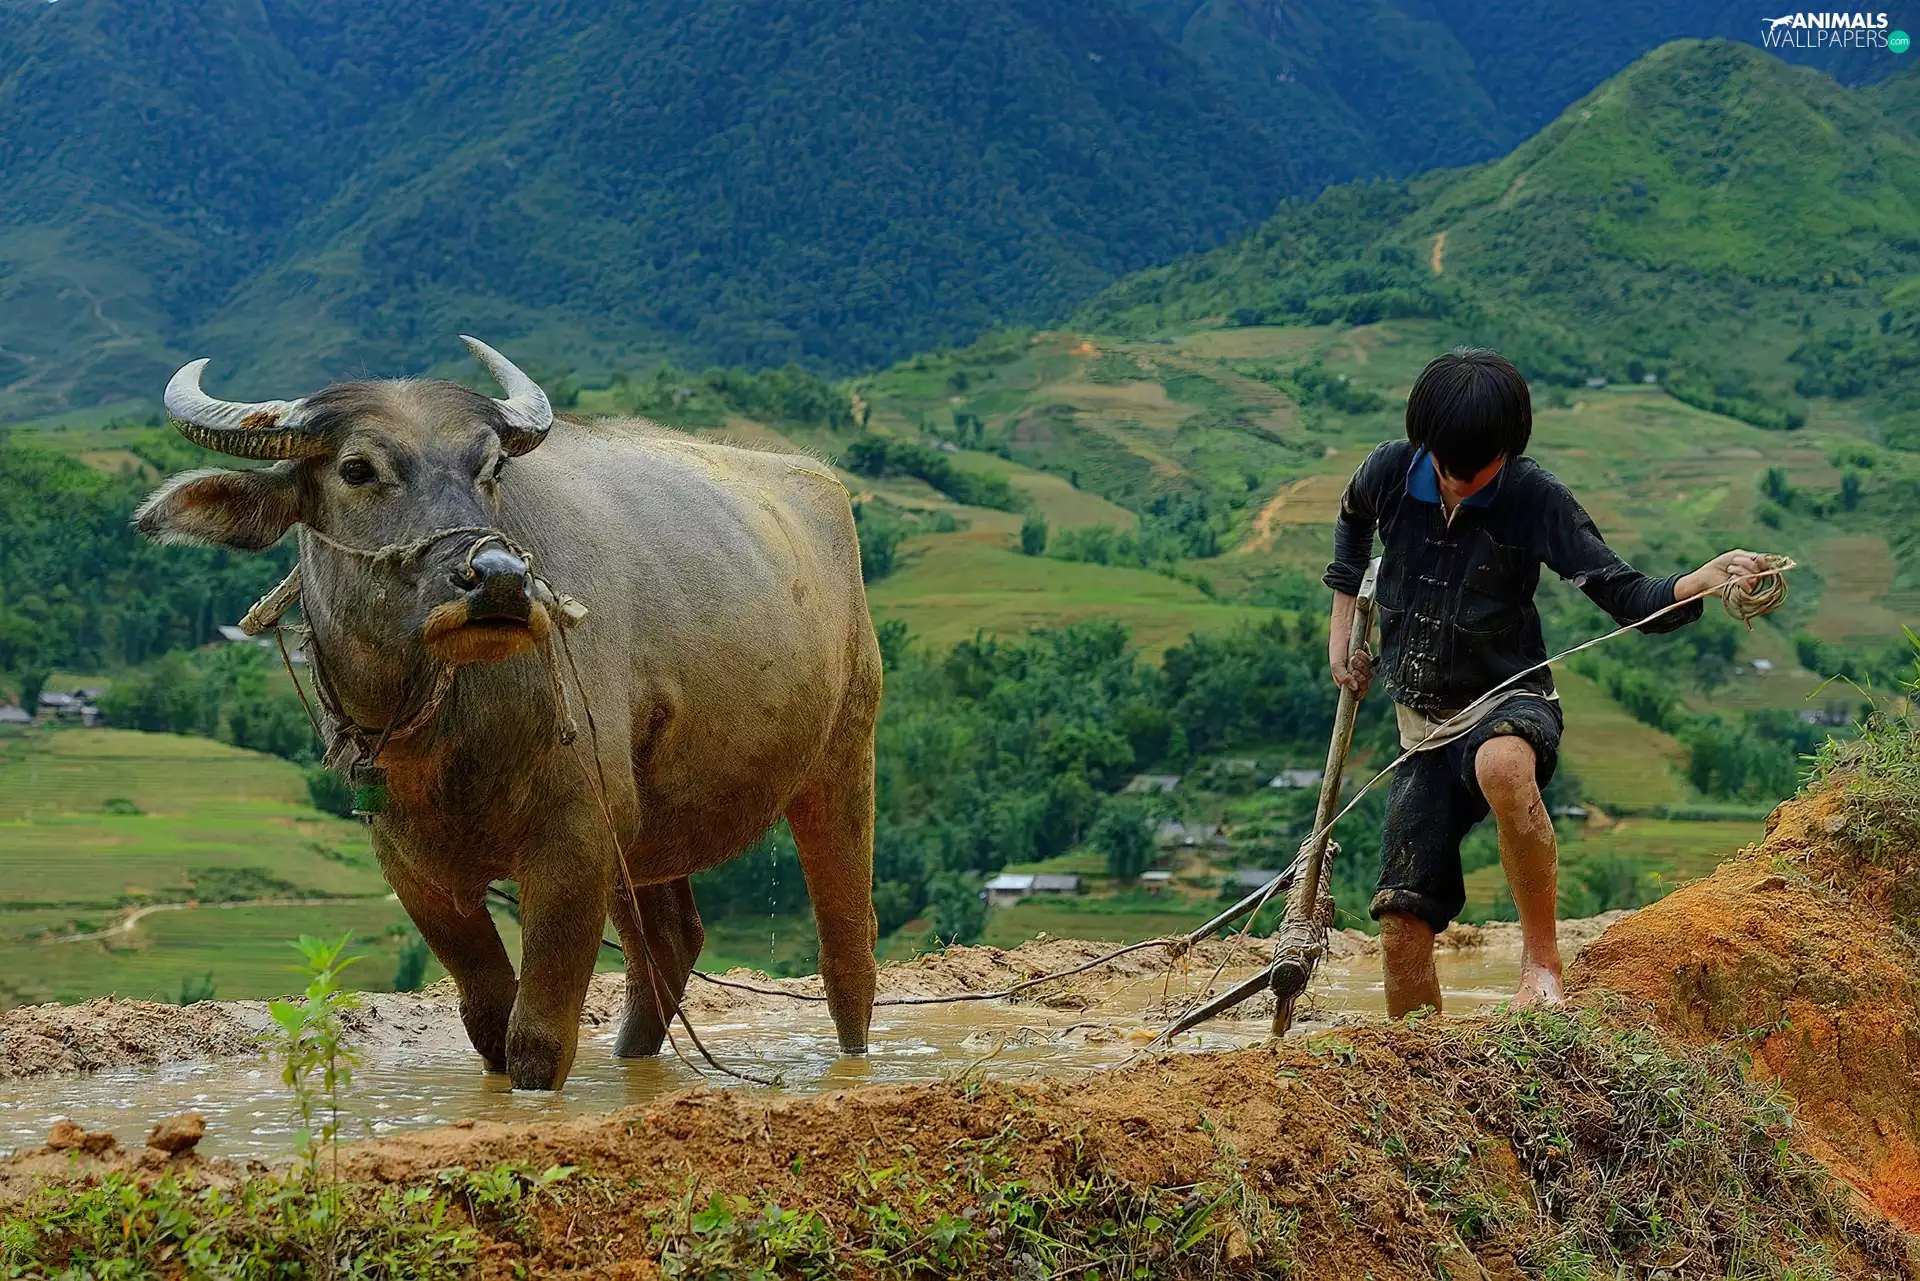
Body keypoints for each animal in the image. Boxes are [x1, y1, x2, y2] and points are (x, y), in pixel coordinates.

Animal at [136, 337, 881, 1090]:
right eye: (356, 468)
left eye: (489, 466)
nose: (497, 578)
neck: (448, 727)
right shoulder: (412, 865)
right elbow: (489, 1020)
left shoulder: (574, 842)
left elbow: (538, 1037)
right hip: (645, 825)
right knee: (669, 944)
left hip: (845, 755)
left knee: (847, 944)